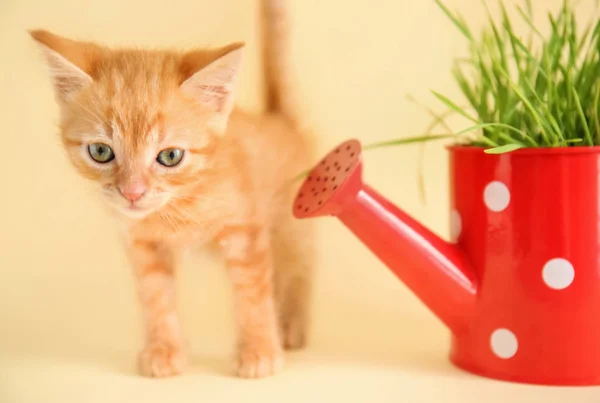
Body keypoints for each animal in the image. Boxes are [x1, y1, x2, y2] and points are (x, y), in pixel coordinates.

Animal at [30, 0, 316, 378]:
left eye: (170, 156)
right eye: (101, 151)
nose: (132, 192)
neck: (182, 202)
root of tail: (279, 119)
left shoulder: (245, 232)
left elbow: (252, 292)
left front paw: (259, 351)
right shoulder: (141, 242)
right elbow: (155, 297)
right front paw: (164, 351)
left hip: (292, 224)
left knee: (298, 268)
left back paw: (290, 326)